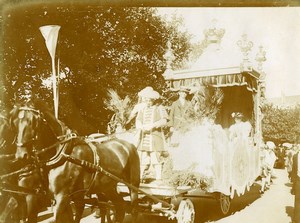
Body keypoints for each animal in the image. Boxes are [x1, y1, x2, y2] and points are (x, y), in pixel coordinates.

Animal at [9, 99, 140, 223]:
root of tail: (129, 145)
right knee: (120, 205)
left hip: (133, 184)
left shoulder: (62, 197)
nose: (21, 155)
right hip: (107, 187)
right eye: (14, 123)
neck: (62, 153)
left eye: (33, 121)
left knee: (134, 208)